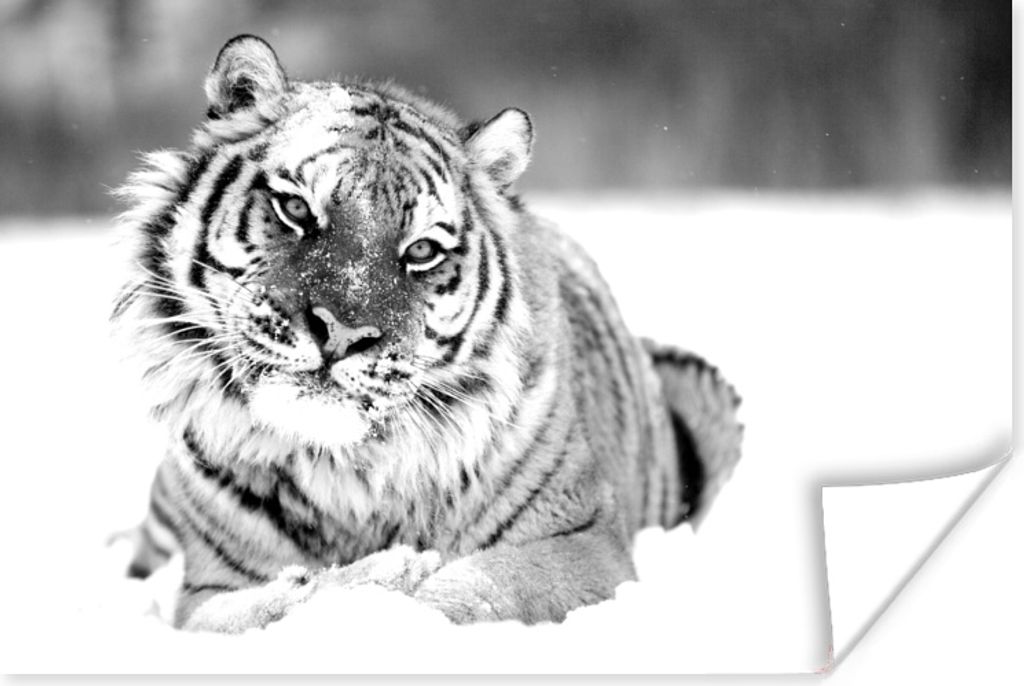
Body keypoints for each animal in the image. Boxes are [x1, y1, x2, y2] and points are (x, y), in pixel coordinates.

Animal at [112, 34, 743, 632]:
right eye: (295, 208)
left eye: (421, 251)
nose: (341, 333)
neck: (342, 476)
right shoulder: (204, 591)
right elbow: (255, 611)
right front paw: (374, 576)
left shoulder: (585, 544)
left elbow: (474, 591)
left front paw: (397, 581)